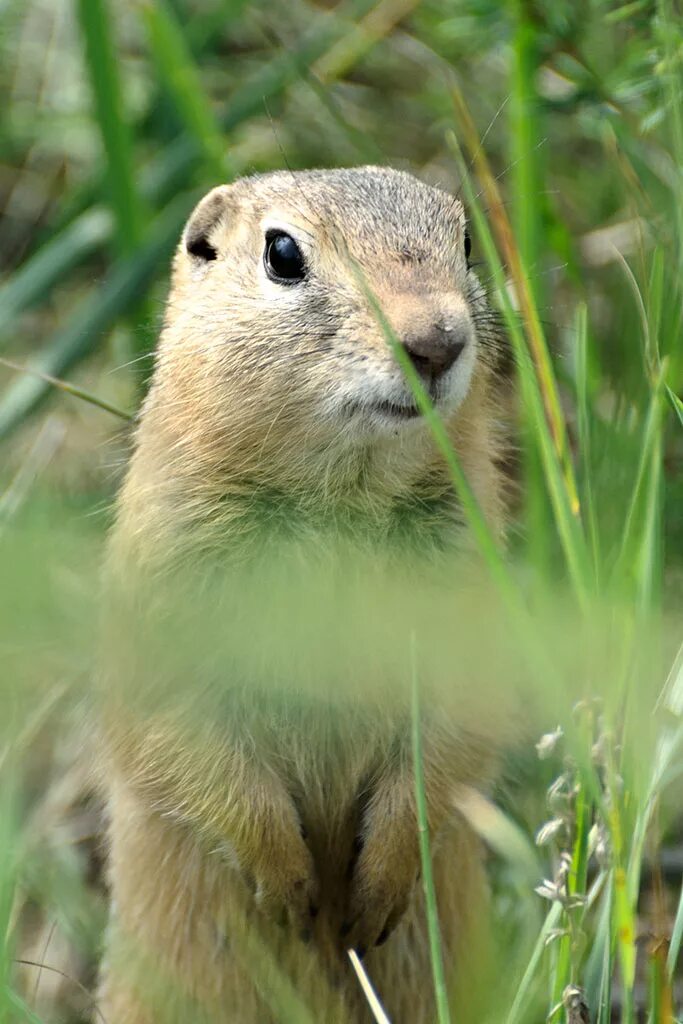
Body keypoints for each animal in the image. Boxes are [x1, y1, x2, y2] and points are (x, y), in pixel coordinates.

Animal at [98, 167, 509, 1024]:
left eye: (463, 241)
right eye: (281, 253)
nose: (437, 340)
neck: (339, 501)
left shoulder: (468, 585)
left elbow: (452, 735)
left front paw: (376, 889)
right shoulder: (163, 591)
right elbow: (177, 735)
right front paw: (290, 889)